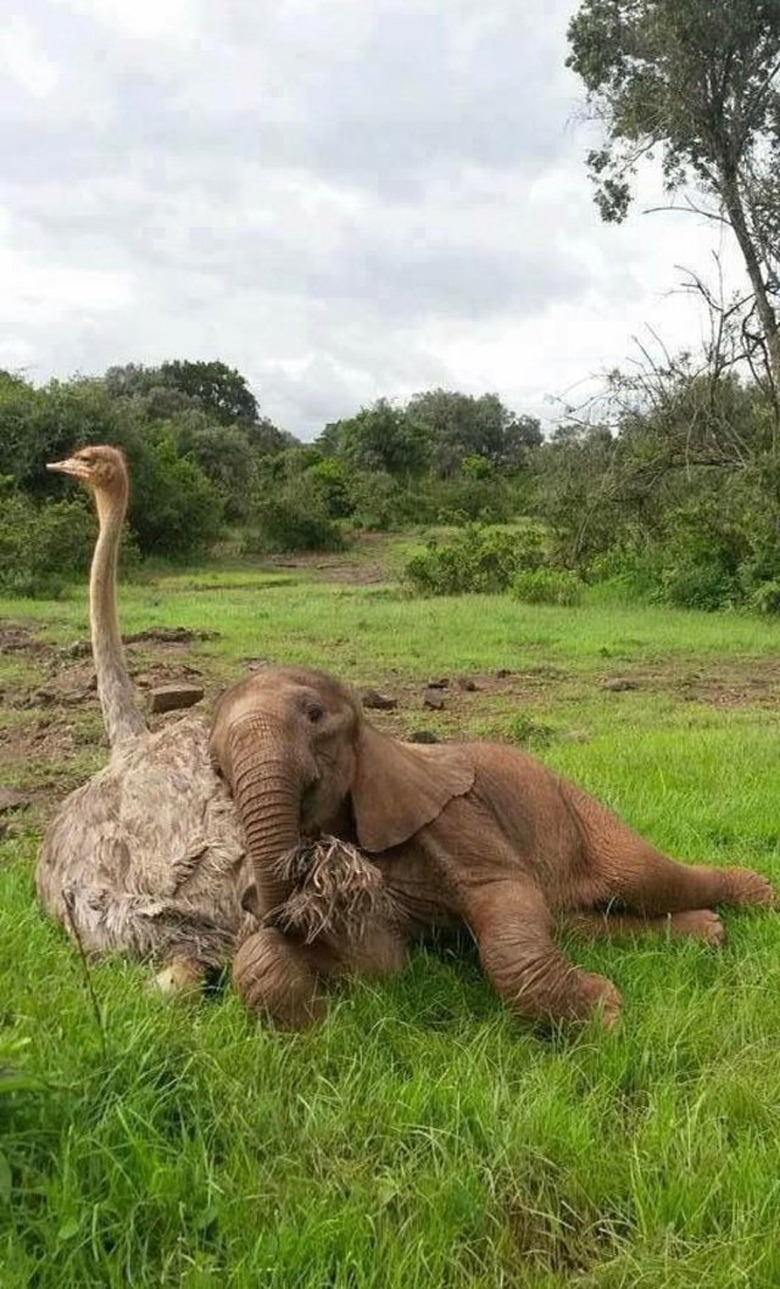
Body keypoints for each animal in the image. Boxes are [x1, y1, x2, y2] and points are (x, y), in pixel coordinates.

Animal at [210, 665, 773, 1026]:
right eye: (216, 766)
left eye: (314, 715)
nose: (254, 902)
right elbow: (380, 962)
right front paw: (311, 1019)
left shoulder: (455, 816)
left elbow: (503, 897)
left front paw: (607, 1015)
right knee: (572, 921)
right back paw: (709, 931)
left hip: (578, 813)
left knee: (646, 877)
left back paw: (758, 896)